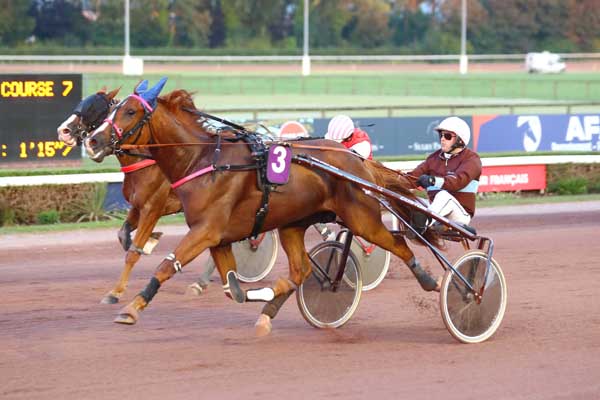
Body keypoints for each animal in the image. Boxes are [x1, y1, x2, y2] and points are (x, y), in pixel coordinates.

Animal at [85, 78, 440, 334]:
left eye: (130, 112)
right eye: (111, 110)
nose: (92, 141)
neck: (203, 160)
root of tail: (356, 161)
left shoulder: (204, 230)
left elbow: (164, 265)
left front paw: (130, 308)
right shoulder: (219, 237)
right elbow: (232, 288)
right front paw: (259, 296)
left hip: (360, 217)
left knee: (397, 243)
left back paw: (431, 280)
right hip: (293, 224)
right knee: (301, 270)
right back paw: (270, 310)